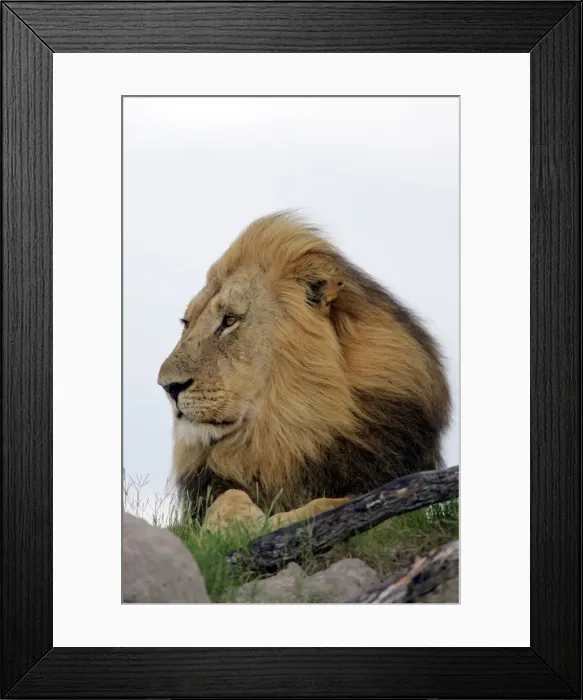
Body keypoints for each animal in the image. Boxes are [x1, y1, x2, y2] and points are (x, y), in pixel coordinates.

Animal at [158, 212, 451, 524]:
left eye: (229, 320)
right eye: (187, 322)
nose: (168, 386)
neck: (290, 434)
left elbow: (331, 503)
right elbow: (228, 497)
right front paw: (235, 522)